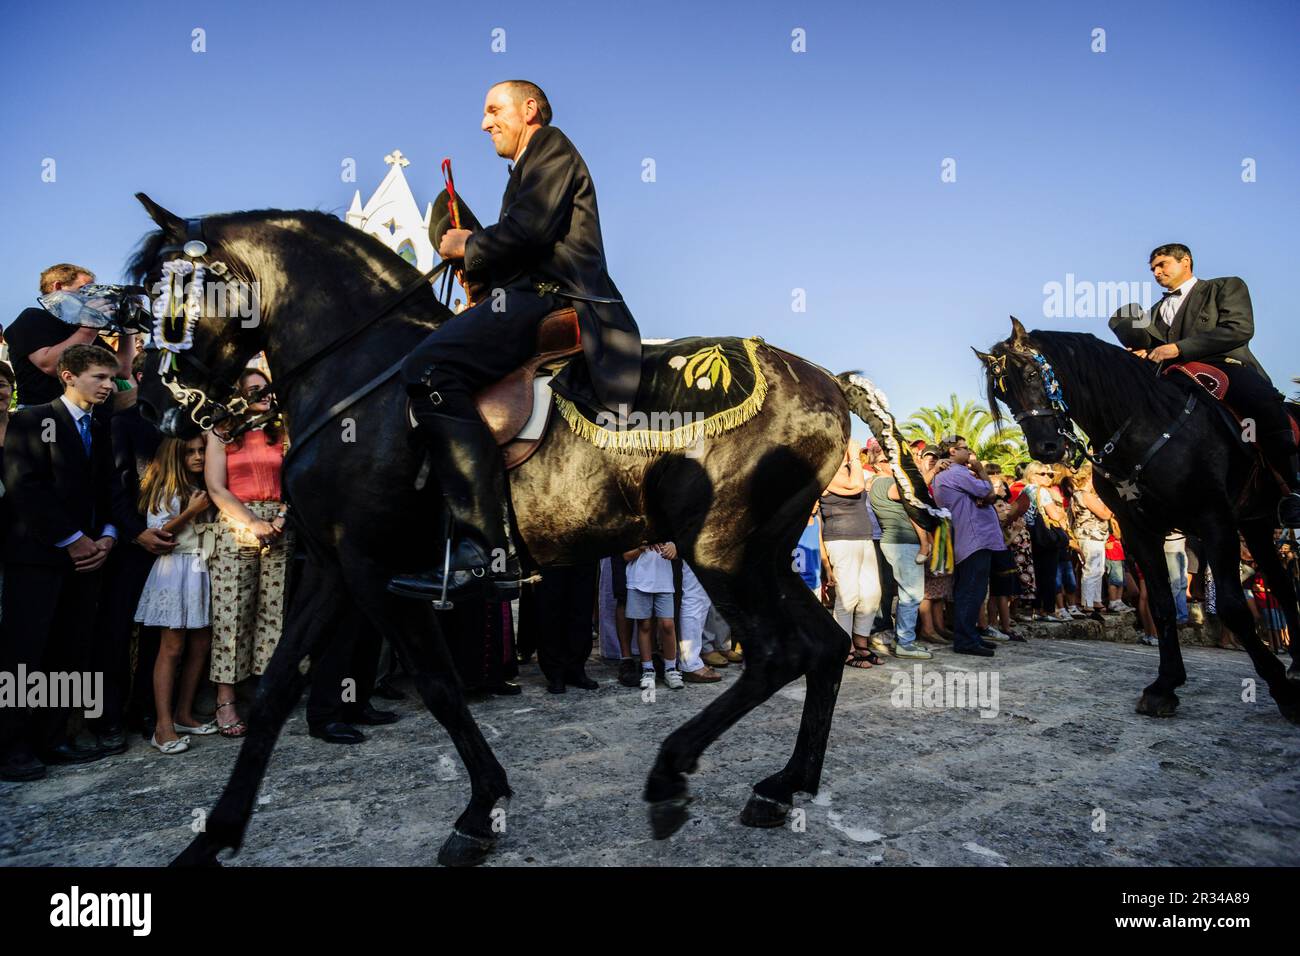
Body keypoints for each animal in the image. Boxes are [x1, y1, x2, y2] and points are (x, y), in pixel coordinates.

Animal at [131, 195, 941, 868]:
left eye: (173, 297)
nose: (164, 407)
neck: (360, 376)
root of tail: (828, 381)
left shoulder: (373, 568)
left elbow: (439, 687)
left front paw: (479, 812)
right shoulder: (335, 565)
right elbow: (274, 691)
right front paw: (212, 839)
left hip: (724, 549)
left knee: (781, 653)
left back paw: (673, 773)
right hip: (763, 553)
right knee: (823, 647)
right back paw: (783, 785)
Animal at [977, 317, 1300, 723]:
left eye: (1034, 375)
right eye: (1003, 395)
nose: (1045, 449)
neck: (1144, 424)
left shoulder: (1214, 519)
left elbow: (1230, 606)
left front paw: (1283, 691)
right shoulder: (1138, 531)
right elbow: (1162, 603)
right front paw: (1165, 685)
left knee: (1283, 585)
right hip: (1254, 524)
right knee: (1282, 584)